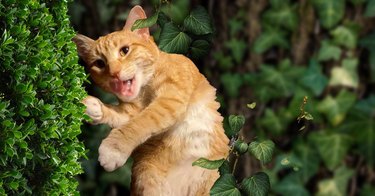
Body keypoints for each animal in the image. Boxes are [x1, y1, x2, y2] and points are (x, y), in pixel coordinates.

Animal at [73, 5, 229, 195]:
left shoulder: (169, 99)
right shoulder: (129, 112)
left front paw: (113, 150)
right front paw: (93, 107)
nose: (114, 73)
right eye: (100, 63)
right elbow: (120, 117)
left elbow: (139, 124)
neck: (144, 92)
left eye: (125, 50)